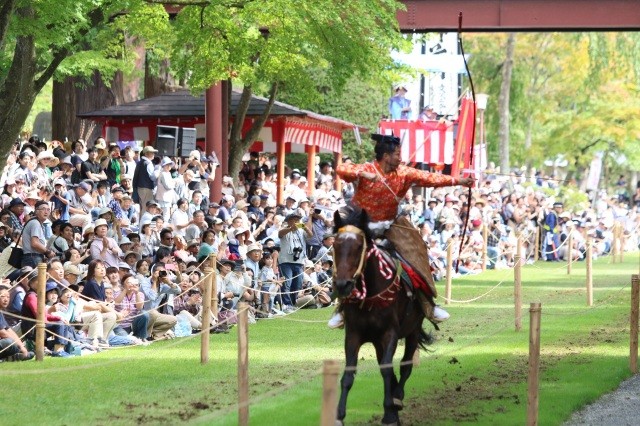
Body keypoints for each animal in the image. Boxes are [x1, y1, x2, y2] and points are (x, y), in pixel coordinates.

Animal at [332, 205, 432, 424]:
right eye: (335, 246)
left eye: (358, 246)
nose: (342, 285)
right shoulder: (353, 334)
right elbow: (349, 374)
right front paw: (339, 415)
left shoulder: (390, 333)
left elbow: (387, 369)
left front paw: (389, 412)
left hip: (413, 329)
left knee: (405, 365)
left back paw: (397, 398)